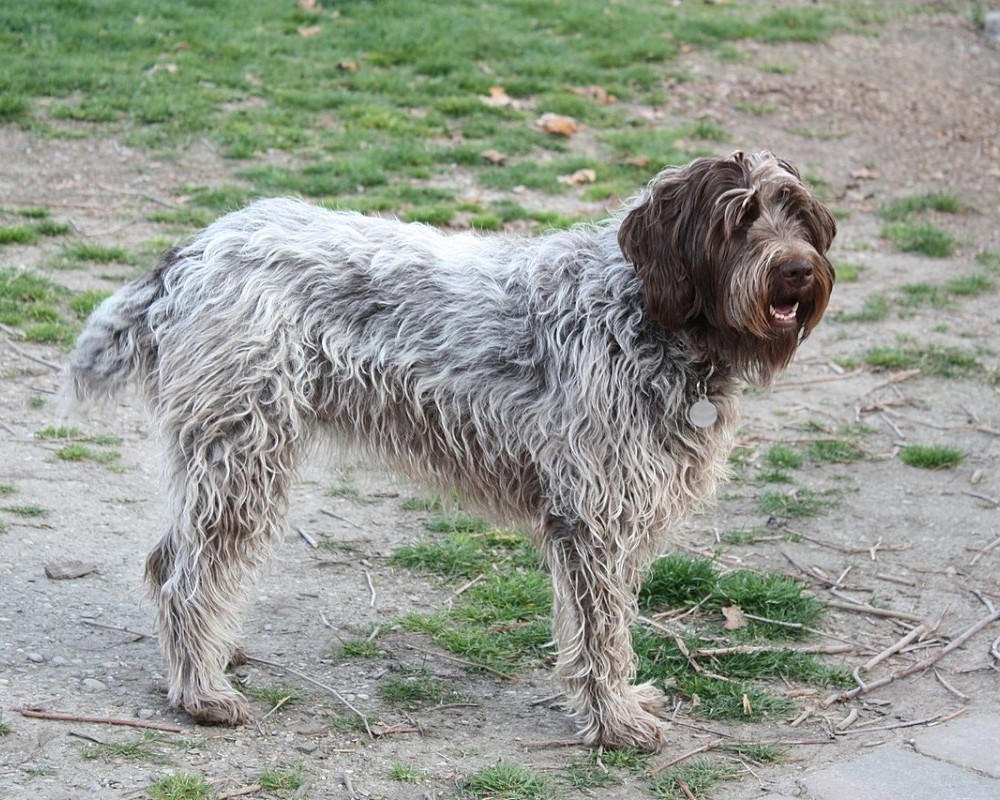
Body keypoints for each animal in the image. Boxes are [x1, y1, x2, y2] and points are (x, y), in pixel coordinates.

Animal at [68, 148, 836, 752]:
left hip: (229, 455)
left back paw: (211, 658)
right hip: (243, 454)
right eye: (737, 218)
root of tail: (193, 252)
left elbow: (610, 625)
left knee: (171, 560)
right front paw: (613, 722)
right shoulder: (592, 518)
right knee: (185, 575)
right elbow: (603, 633)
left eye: (798, 215)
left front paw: (621, 706)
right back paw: (201, 692)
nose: (798, 270)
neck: (647, 314)